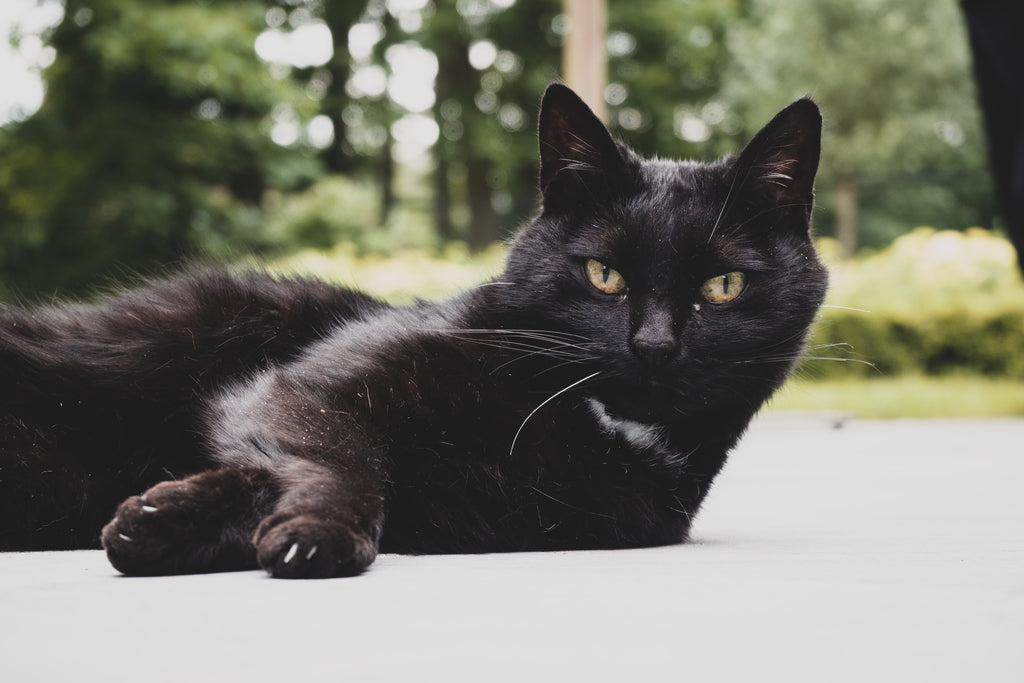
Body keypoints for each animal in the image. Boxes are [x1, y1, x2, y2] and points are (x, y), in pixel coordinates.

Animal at [0, 83, 827, 577]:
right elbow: (346, 455)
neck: (600, 421)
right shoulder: (299, 386)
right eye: (604, 275)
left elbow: (278, 479)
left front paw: (158, 521)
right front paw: (318, 531)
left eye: (723, 286)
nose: (655, 345)